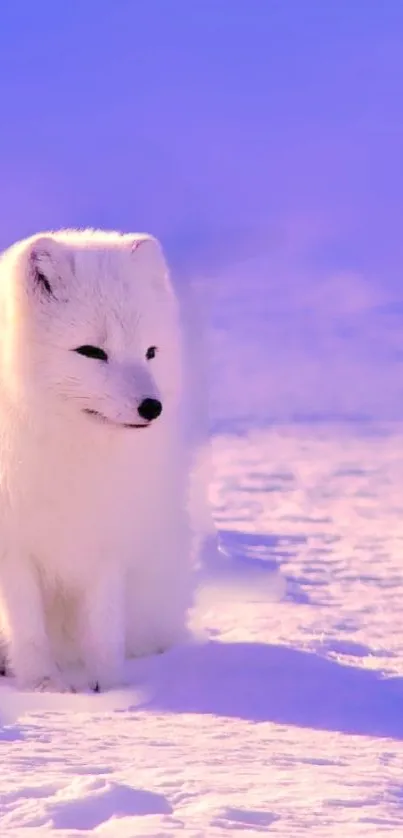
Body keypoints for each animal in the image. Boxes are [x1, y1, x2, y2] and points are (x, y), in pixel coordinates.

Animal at [0, 231, 196, 696]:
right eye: (91, 351)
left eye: (150, 351)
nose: (152, 407)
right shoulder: (11, 547)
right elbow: (27, 627)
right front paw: (44, 686)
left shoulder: (105, 535)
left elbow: (104, 626)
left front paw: (109, 688)